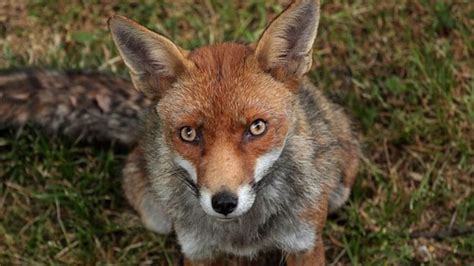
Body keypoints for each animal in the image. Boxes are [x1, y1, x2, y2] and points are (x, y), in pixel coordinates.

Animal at [0, 0, 360, 264]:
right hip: (157, 218)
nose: (224, 203)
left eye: (256, 127)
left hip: (340, 190)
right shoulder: (197, 250)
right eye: (188, 134)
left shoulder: (304, 244)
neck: (241, 236)